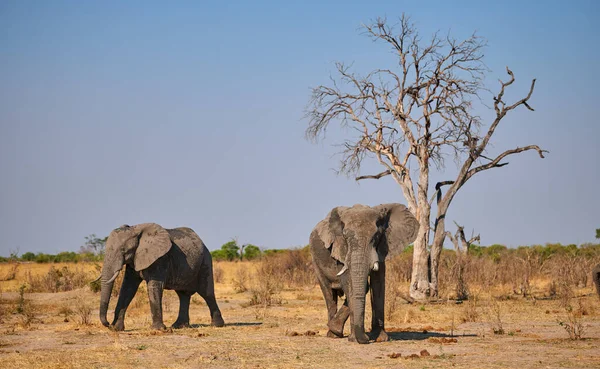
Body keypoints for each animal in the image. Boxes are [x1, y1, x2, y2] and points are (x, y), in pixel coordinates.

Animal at [310, 203, 418, 344]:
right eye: (345, 237)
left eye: (376, 236)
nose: (366, 338)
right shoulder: (340, 248)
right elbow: (348, 282)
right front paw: (354, 339)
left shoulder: (382, 247)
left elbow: (377, 283)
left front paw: (380, 338)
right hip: (315, 260)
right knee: (329, 294)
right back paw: (333, 334)